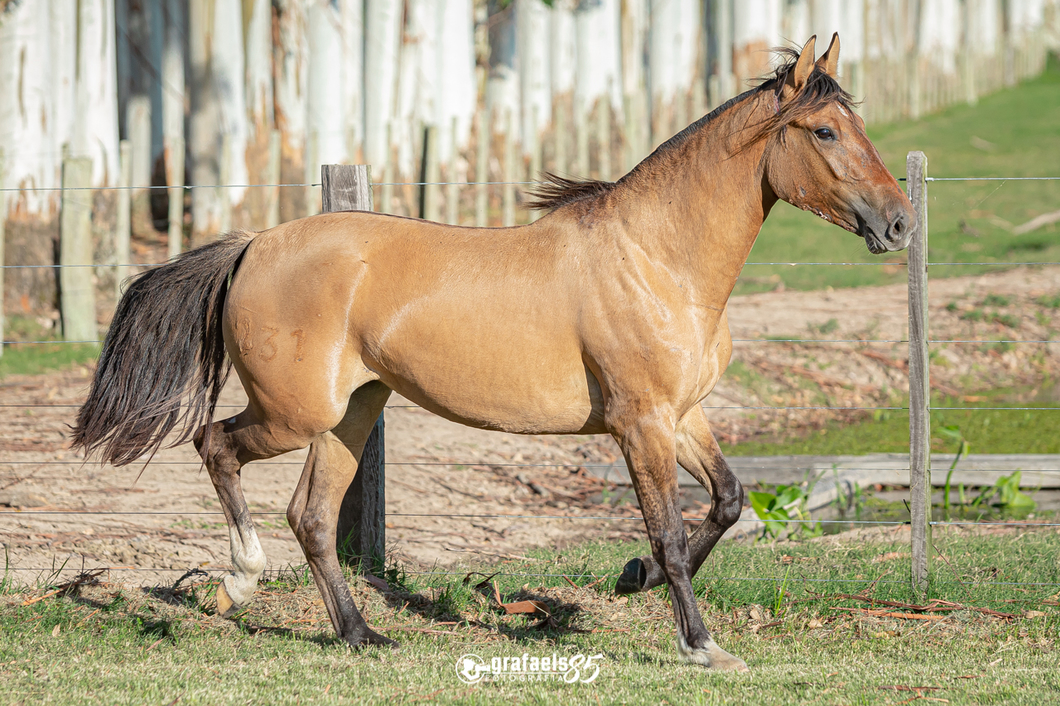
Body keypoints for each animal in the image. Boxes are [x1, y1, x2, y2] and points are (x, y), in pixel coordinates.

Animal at [72, 34, 911, 669]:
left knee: (310, 517)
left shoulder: (682, 415)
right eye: (826, 132)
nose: (900, 222)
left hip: (351, 413)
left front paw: (629, 578)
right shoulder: (640, 423)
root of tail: (254, 244)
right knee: (216, 446)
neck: (656, 259)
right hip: (293, 412)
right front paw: (701, 645)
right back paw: (240, 583)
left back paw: (362, 634)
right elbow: (672, 535)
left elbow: (730, 502)